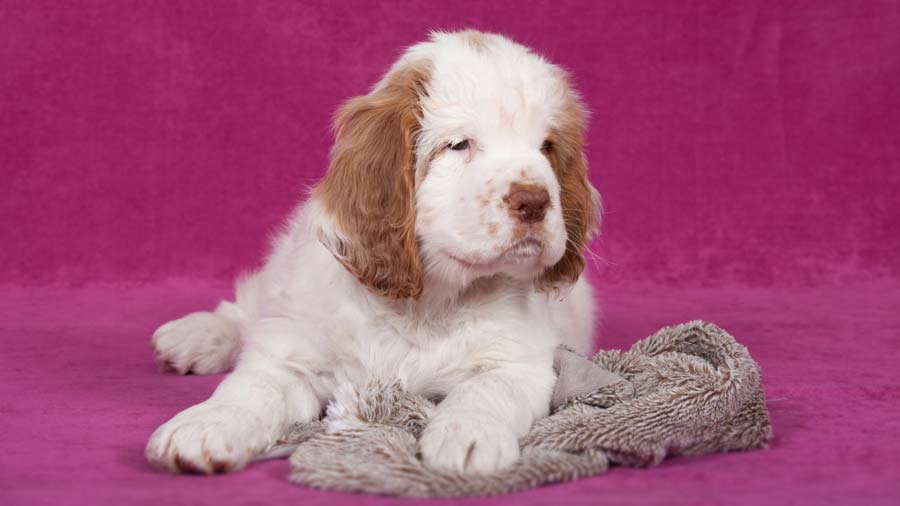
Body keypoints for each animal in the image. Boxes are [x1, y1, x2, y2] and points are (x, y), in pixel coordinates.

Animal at [148, 30, 600, 474]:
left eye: (546, 147)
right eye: (458, 145)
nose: (536, 201)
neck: (425, 306)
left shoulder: (518, 360)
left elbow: (487, 390)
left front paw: (467, 435)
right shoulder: (292, 353)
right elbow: (253, 387)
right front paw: (205, 425)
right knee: (249, 308)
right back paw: (196, 336)